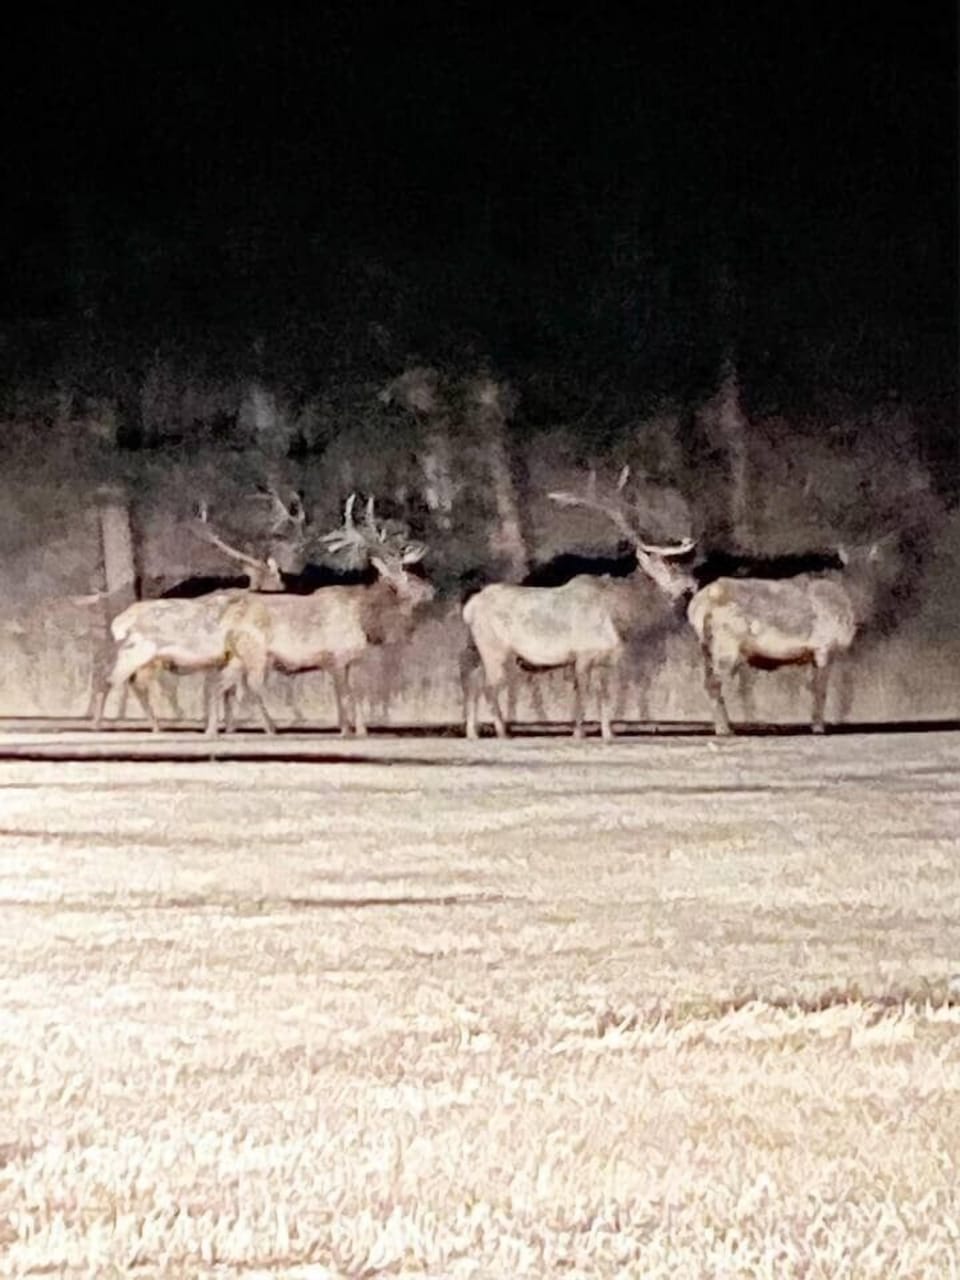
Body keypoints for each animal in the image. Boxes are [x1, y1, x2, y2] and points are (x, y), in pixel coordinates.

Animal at [208, 495, 436, 736]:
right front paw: (346, 731)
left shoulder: (350, 662)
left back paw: (219, 729)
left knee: (221, 686)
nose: (431, 590)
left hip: (237, 657)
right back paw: (265, 728)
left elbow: (355, 696)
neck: (363, 618)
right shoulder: (337, 657)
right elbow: (345, 697)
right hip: (254, 653)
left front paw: (361, 730)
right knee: (246, 688)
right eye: (406, 576)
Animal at [461, 469, 696, 740]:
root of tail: (469, 608)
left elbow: (604, 696)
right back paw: (502, 732)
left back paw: (473, 731)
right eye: (667, 564)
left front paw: (607, 732)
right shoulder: (582, 654)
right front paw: (578, 731)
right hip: (495, 648)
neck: (620, 616)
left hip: (482, 649)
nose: (691, 585)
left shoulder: (606, 659)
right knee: (489, 687)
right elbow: (582, 694)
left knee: (473, 680)